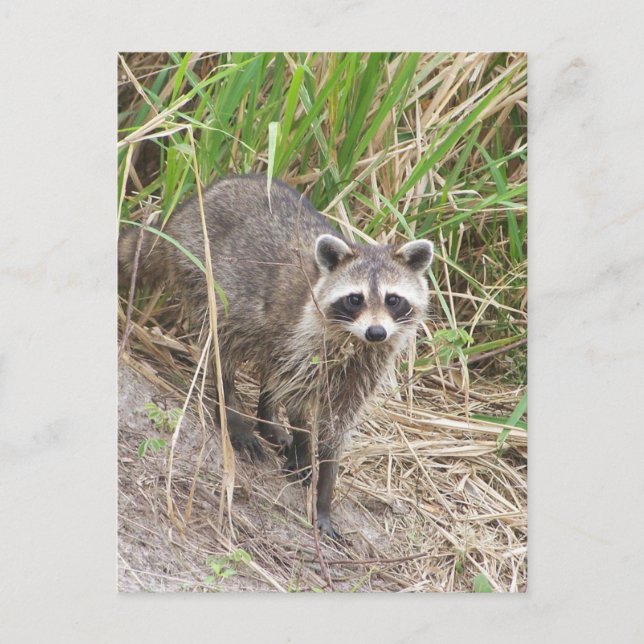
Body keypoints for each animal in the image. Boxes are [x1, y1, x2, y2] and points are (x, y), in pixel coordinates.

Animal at [119, 174, 433, 539]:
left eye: (393, 299)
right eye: (355, 299)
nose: (376, 332)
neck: (355, 343)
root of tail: (190, 207)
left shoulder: (363, 370)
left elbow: (336, 427)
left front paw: (325, 490)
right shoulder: (308, 342)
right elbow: (299, 403)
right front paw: (304, 446)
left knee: (270, 361)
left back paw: (267, 415)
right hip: (207, 278)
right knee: (222, 346)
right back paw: (234, 412)